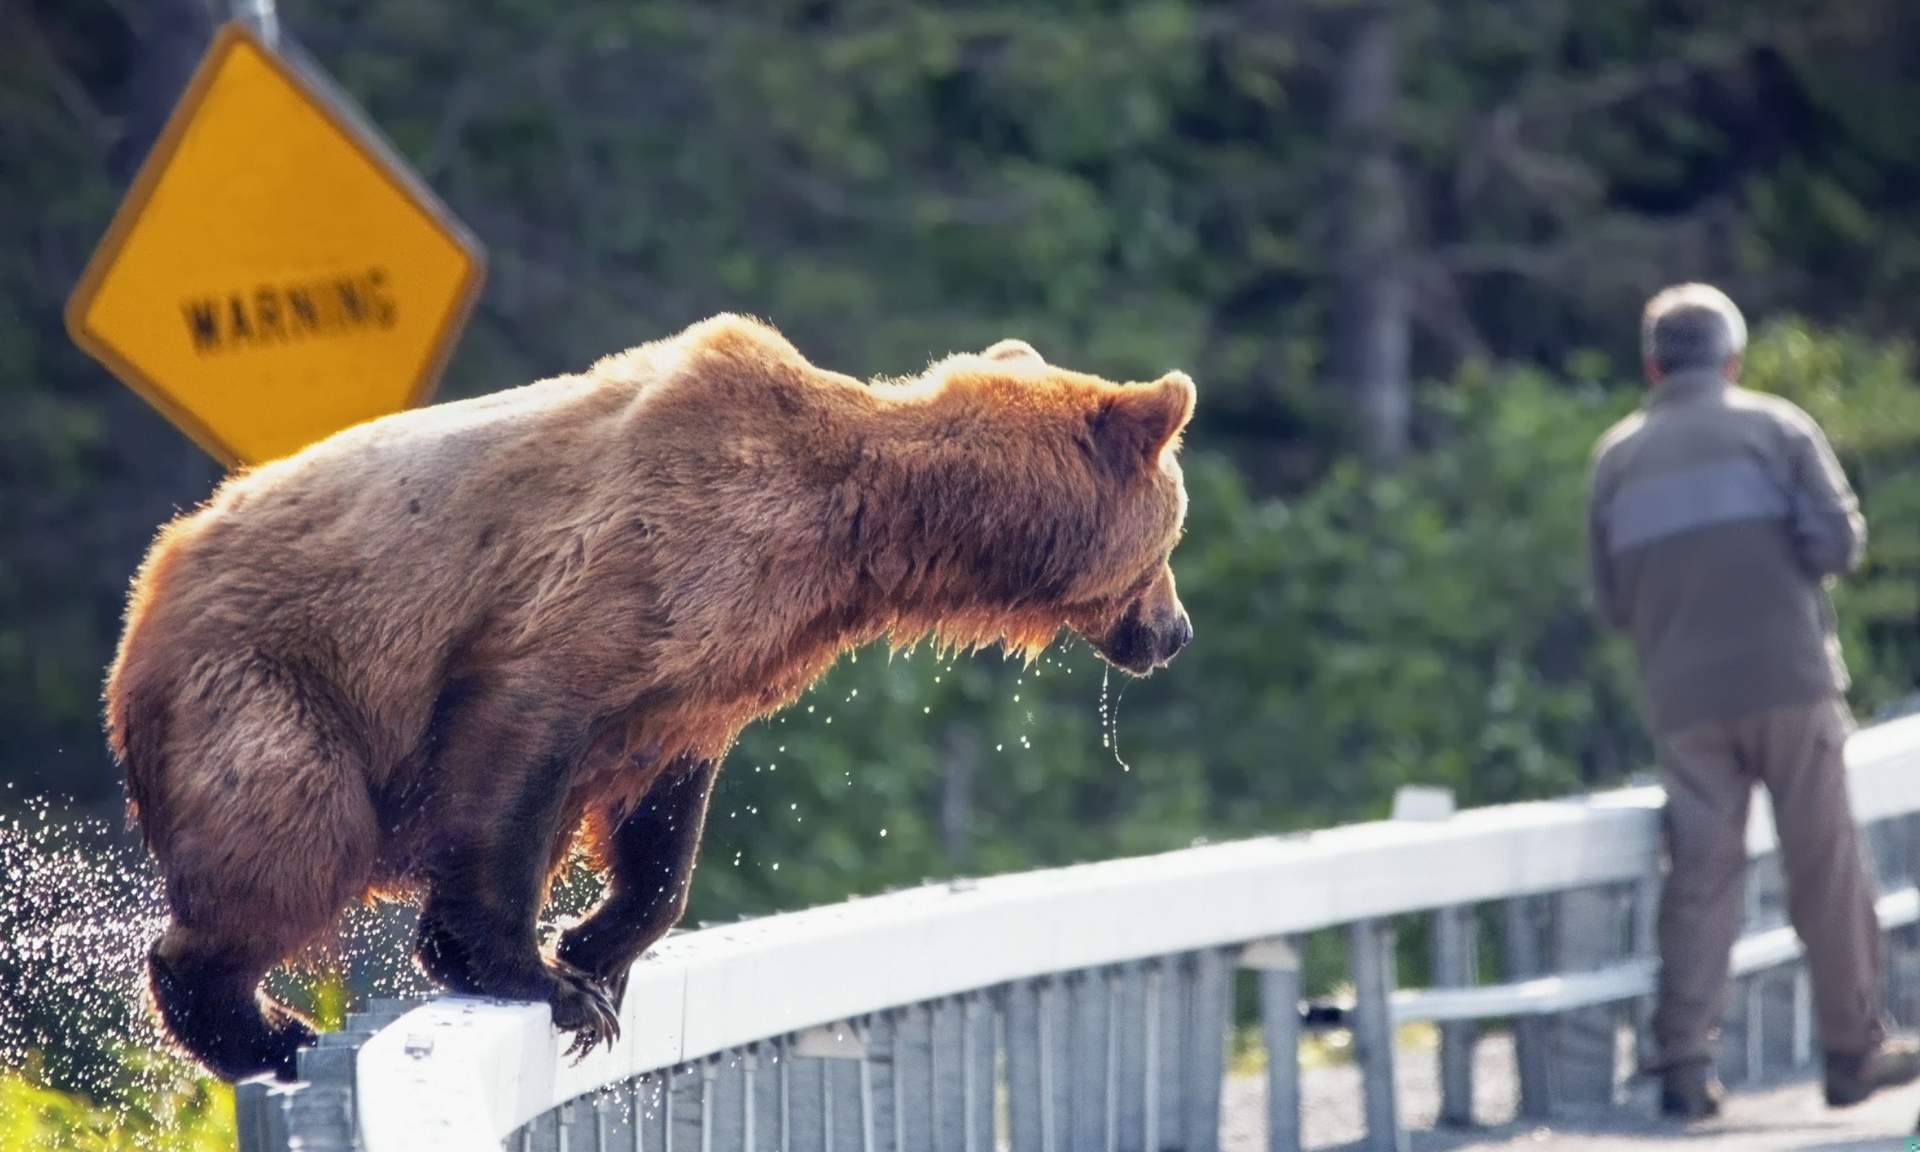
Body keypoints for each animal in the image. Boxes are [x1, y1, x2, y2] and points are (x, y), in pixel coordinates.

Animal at [105, 314, 1190, 1082]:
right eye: (1173, 535)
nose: (1174, 632)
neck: (852, 531)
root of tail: (147, 590)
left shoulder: (711, 668)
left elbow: (662, 817)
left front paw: (598, 950)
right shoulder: (617, 576)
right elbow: (518, 742)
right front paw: (538, 975)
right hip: (270, 683)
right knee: (290, 836)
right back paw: (269, 1028)